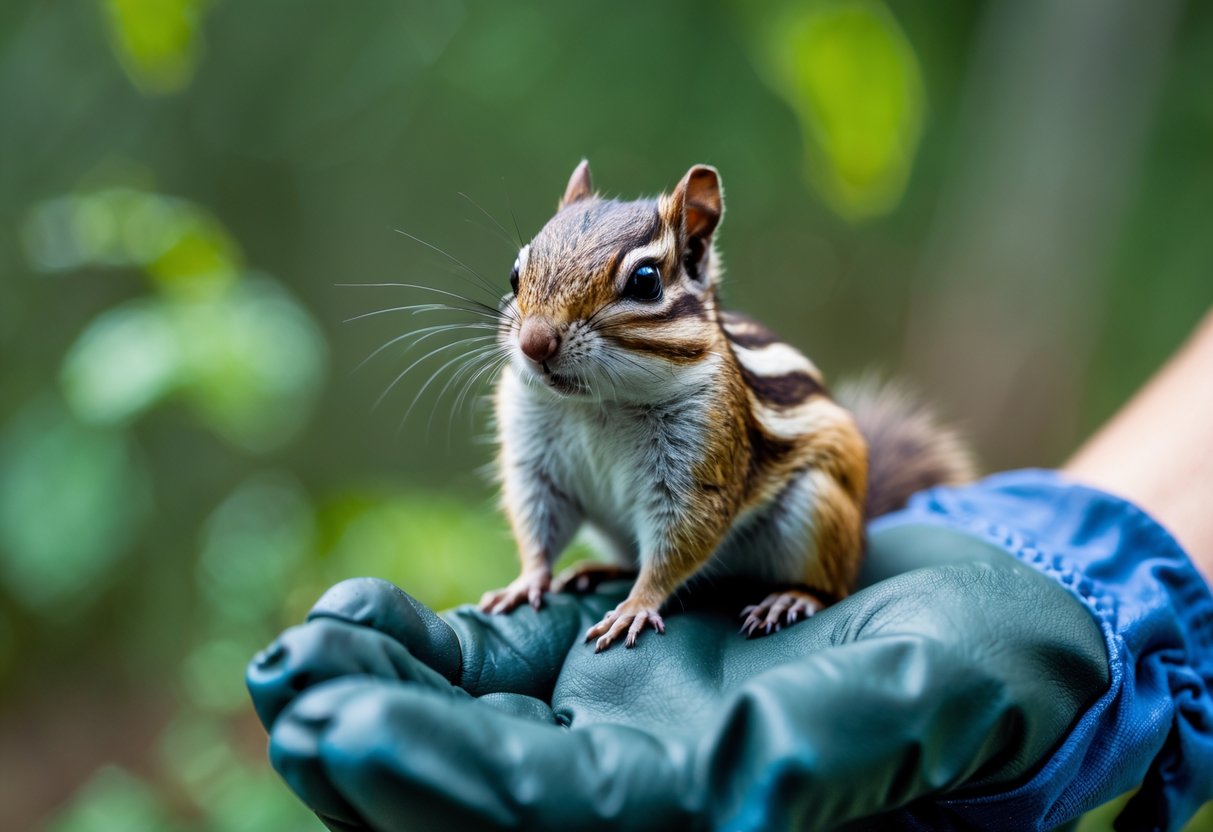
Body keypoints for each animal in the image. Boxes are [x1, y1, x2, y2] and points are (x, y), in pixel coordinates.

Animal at [478, 161, 974, 651]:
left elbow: (678, 542)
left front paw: (636, 605)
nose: (534, 342)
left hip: (818, 507)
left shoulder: (700, 465)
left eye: (645, 281)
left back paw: (791, 597)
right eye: (515, 273)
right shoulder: (536, 461)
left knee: (832, 585)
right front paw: (526, 581)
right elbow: (538, 522)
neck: (599, 403)